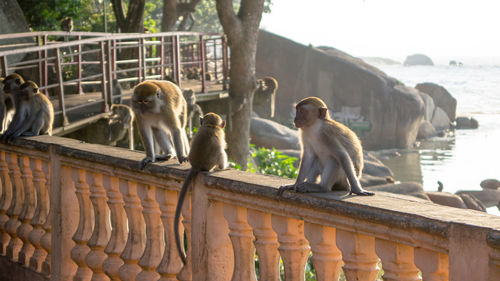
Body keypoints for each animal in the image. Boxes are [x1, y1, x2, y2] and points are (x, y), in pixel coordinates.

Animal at [174, 111, 229, 262]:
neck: (210, 126)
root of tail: (196, 165)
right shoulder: (219, 135)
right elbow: (221, 151)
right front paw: (224, 167)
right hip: (210, 164)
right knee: (220, 152)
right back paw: (222, 167)